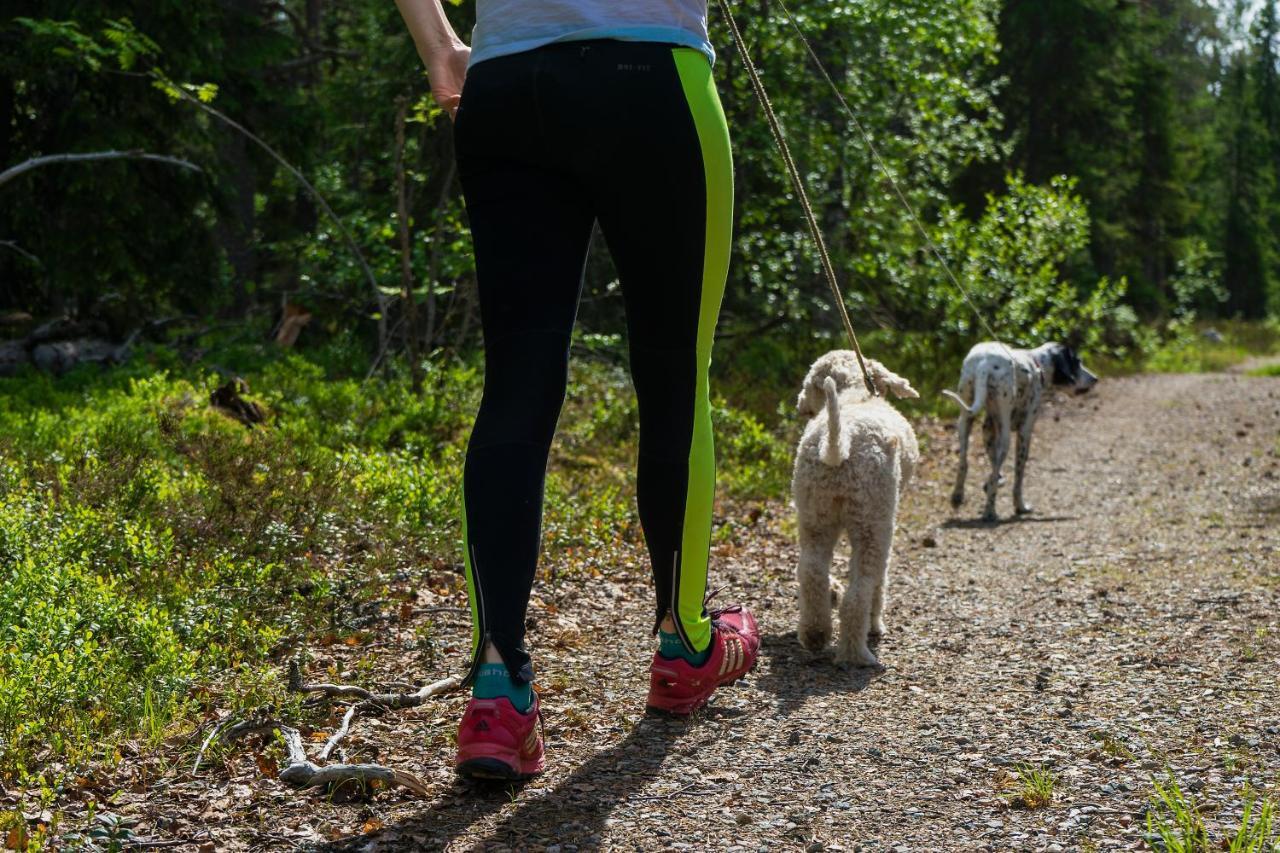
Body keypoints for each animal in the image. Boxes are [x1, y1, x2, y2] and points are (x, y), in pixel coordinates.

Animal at [788, 350, 921, 666]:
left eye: (808, 383)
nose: (799, 403)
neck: (856, 393)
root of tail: (837, 446)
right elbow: (880, 582)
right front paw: (875, 626)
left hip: (815, 514)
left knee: (811, 571)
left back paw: (815, 634)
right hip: (873, 523)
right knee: (860, 590)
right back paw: (856, 651)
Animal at [947, 340, 1095, 517]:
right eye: (1077, 362)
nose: (1095, 378)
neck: (1037, 364)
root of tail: (985, 363)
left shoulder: (988, 429)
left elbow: (993, 469)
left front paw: (992, 482)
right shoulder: (1025, 431)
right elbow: (1018, 476)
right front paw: (1020, 506)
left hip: (964, 422)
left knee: (963, 464)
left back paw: (958, 495)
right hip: (1005, 438)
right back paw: (990, 511)